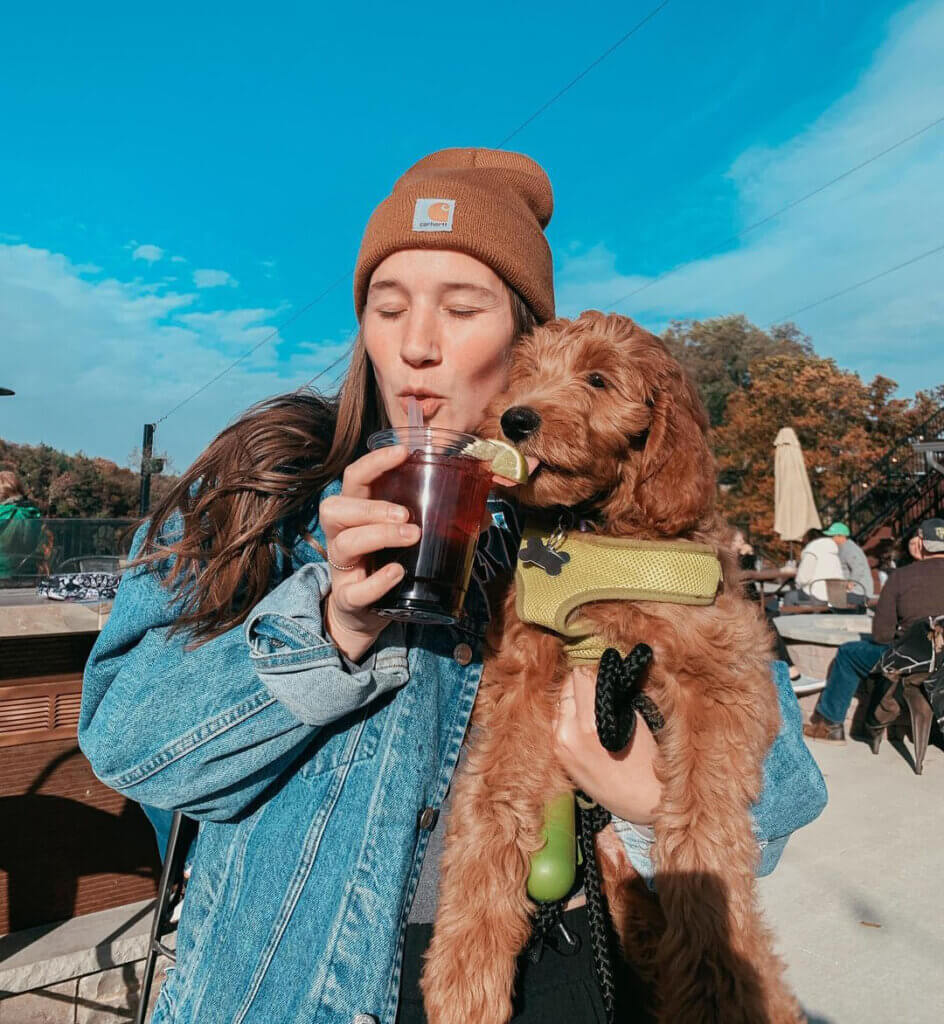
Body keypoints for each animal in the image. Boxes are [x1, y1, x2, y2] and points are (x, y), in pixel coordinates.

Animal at [423, 311, 798, 1024]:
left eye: (597, 379)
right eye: (525, 373)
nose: (514, 418)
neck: (596, 533)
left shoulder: (725, 673)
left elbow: (702, 826)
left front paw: (717, 974)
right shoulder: (522, 676)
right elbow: (493, 802)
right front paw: (466, 969)